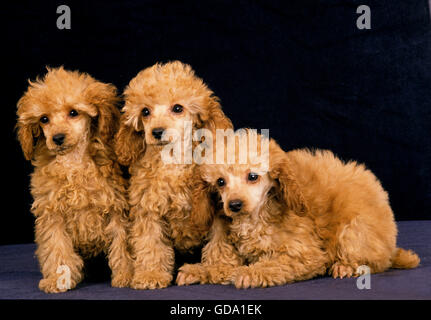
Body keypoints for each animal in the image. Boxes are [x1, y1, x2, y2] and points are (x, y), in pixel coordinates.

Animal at [16, 67, 132, 292]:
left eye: (73, 113)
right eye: (44, 119)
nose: (57, 138)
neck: (73, 161)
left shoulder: (116, 208)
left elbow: (122, 244)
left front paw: (126, 275)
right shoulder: (53, 214)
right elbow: (57, 248)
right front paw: (57, 279)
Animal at [115, 61, 233, 288]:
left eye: (178, 108)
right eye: (145, 111)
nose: (157, 131)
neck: (172, 160)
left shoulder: (217, 211)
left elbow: (219, 241)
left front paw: (220, 269)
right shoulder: (148, 209)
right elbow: (150, 243)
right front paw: (151, 274)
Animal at [178, 129, 422, 288]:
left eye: (253, 177)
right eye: (220, 182)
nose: (235, 205)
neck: (256, 214)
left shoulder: (306, 254)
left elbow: (277, 263)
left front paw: (251, 273)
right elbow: (222, 265)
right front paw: (198, 270)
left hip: (355, 230)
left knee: (374, 261)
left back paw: (346, 266)